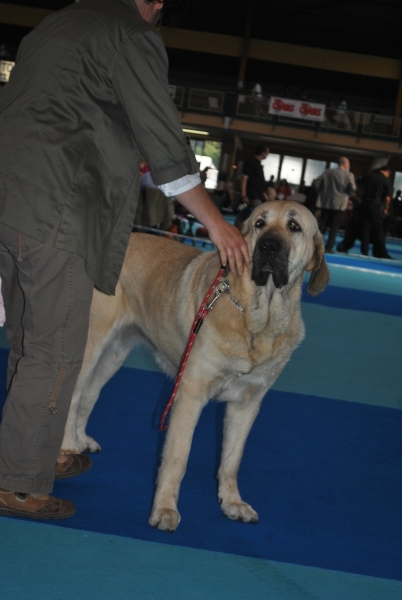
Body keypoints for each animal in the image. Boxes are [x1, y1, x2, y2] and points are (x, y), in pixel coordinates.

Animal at [60, 200, 330, 528]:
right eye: (259, 224)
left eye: (294, 227)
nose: (267, 246)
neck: (256, 319)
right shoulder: (190, 393)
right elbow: (178, 457)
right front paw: (164, 510)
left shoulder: (247, 404)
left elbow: (231, 459)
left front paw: (232, 503)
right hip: (93, 342)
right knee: (73, 394)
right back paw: (67, 447)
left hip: (114, 353)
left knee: (89, 394)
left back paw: (81, 439)